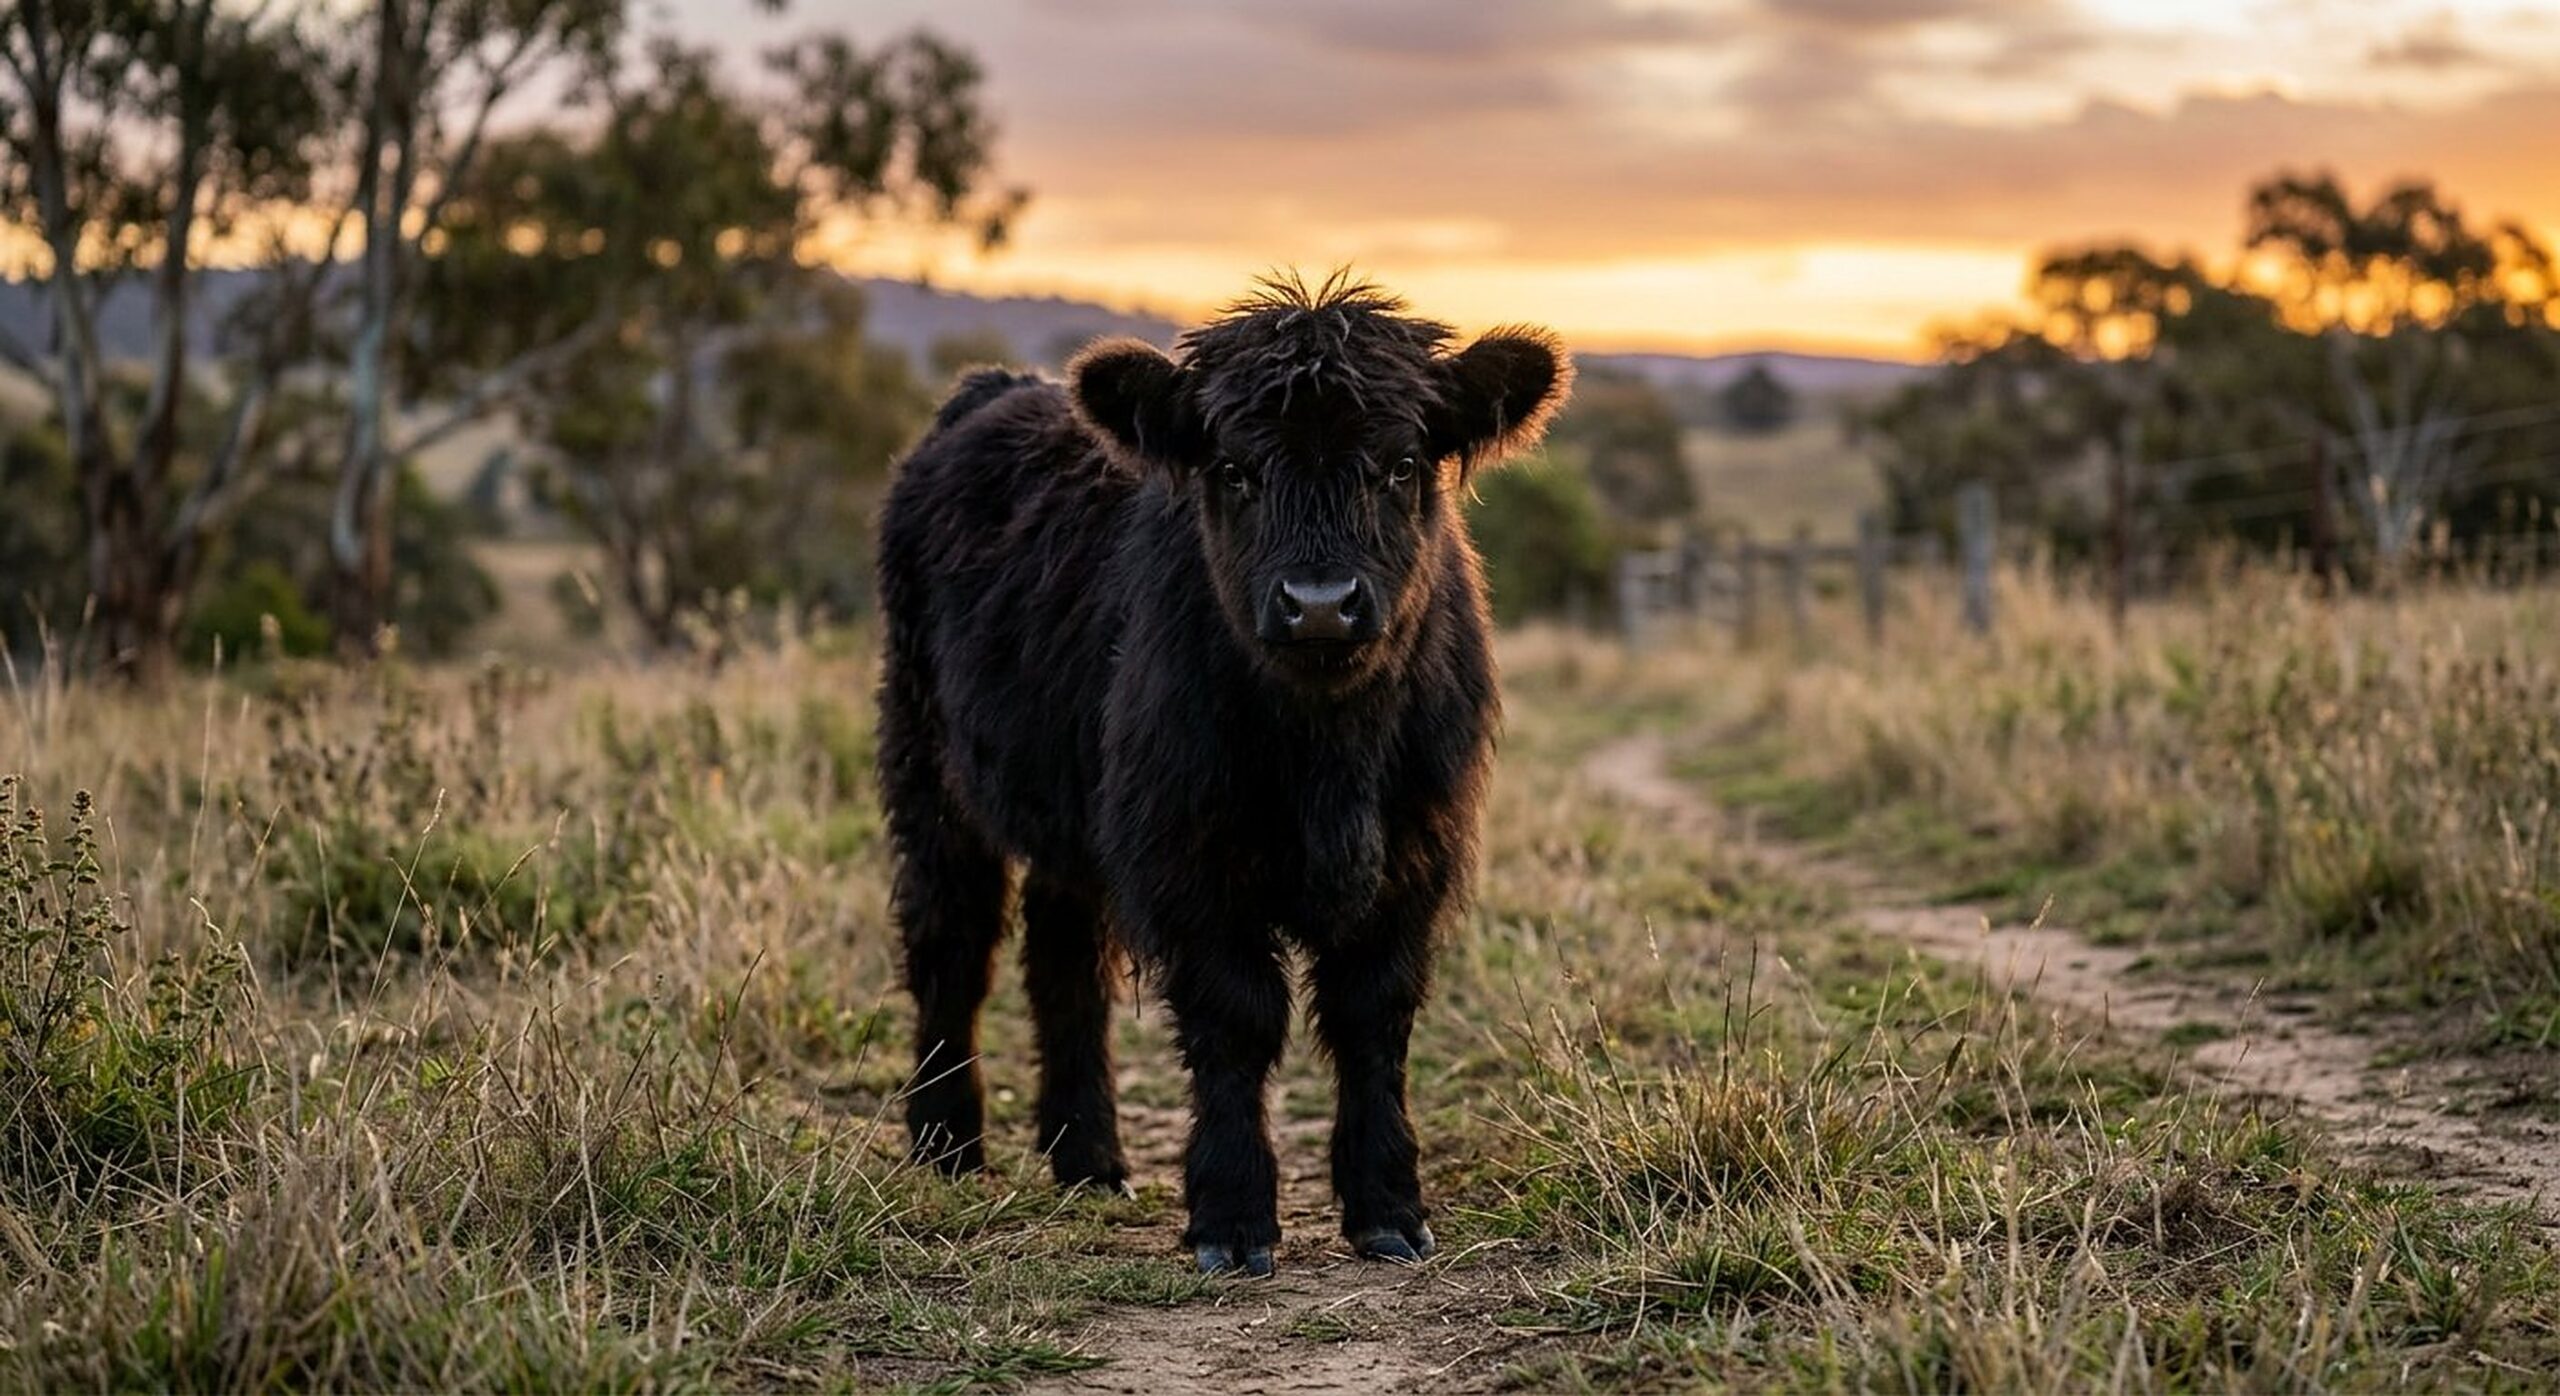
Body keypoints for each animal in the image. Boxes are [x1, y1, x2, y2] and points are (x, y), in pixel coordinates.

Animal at [873, 272, 1570, 1276]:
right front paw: (1233, 1219)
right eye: (1235, 470)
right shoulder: (1188, 858)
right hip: (927, 764)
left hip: (1070, 815)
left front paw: (1389, 1208)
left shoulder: (1416, 853)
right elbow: (1238, 1017)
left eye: (1401, 464)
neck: (1328, 757)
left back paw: (1088, 1158)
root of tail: (994, 389)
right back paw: (947, 1145)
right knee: (950, 943)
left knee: (1062, 958)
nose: (1319, 605)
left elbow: (1371, 1016)